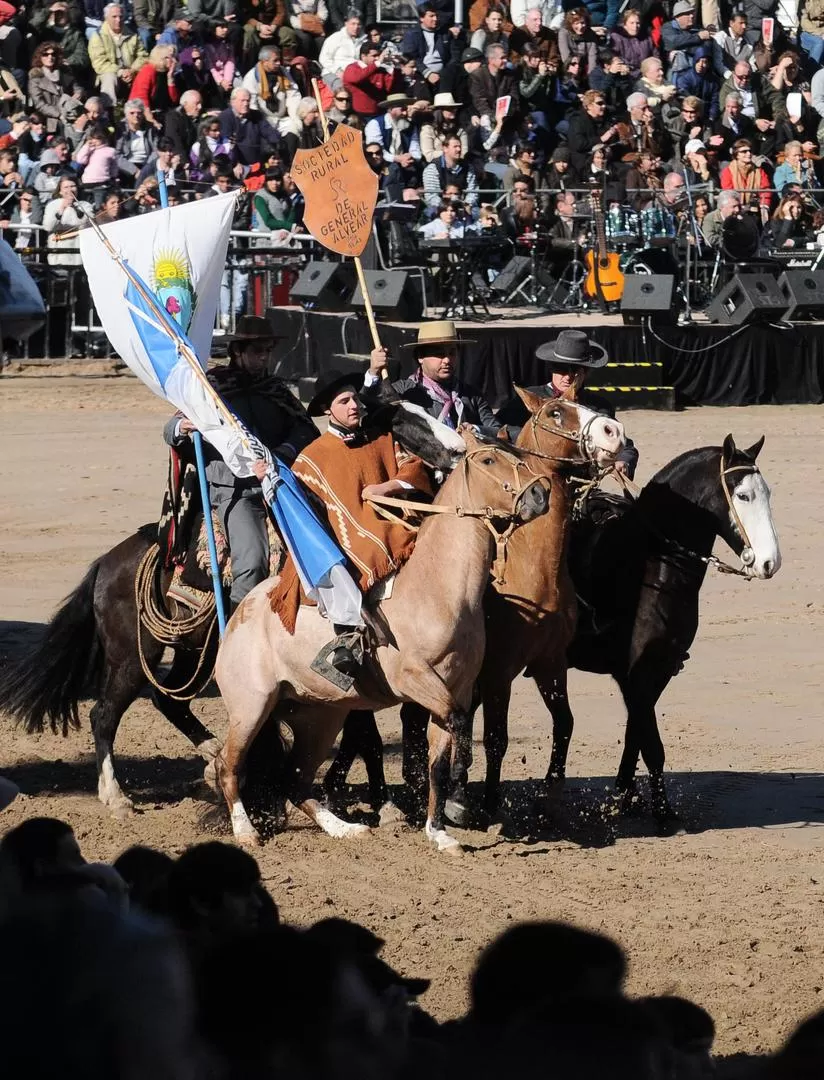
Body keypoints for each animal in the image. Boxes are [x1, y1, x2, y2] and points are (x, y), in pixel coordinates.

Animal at [215, 429, 552, 851]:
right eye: (489, 460)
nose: (541, 493)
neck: (440, 588)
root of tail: (238, 615)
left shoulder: (456, 687)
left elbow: (438, 762)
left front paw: (439, 832)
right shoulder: (416, 680)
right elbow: (457, 728)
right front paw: (459, 795)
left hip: (318, 717)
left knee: (295, 781)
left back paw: (343, 828)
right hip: (251, 708)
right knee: (228, 766)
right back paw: (246, 831)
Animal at [537, 434, 781, 820]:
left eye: (767, 492)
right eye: (742, 496)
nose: (770, 562)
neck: (650, 565)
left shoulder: (660, 667)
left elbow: (638, 732)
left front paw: (625, 794)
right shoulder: (635, 672)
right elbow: (651, 743)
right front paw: (663, 812)